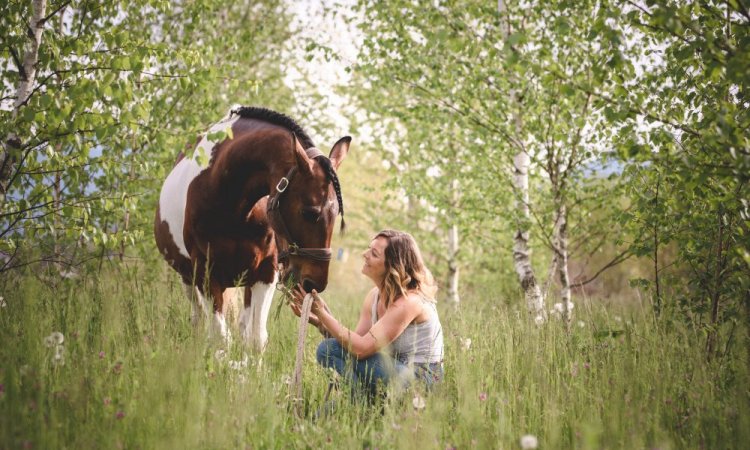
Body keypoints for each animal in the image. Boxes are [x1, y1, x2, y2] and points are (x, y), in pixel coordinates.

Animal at [155, 106, 352, 352]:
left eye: (336, 216)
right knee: (199, 319)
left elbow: (256, 338)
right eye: (309, 212)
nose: (314, 282)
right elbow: (220, 337)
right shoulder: (205, 272)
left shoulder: (265, 272)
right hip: (188, 278)